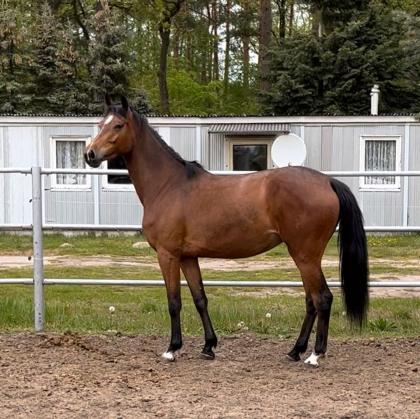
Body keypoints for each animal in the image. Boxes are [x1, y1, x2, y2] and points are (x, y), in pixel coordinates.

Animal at [84, 96, 368, 368]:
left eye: (118, 125)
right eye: (100, 124)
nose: (90, 154)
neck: (169, 185)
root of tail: (328, 181)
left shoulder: (168, 255)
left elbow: (174, 302)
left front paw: (172, 349)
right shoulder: (188, 257)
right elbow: (200, 298)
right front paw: (208, 346)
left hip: (305, 255)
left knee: (322, 299)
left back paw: (315, 355)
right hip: (305, 257)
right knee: (311, 301)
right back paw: (294, 351)